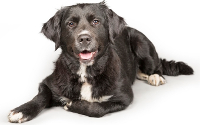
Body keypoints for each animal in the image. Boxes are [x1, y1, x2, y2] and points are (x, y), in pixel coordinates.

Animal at [7, 1, 192, 123]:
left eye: (96, 21)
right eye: (70, 24)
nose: (84, 38)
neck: (86, 71)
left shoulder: (124, 97)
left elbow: (98, 108)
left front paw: (73, 104)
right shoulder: (48, 83)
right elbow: (42, 96)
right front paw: (21, 111)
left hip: (141, 42)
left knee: (156, 64)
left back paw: (154, 76)